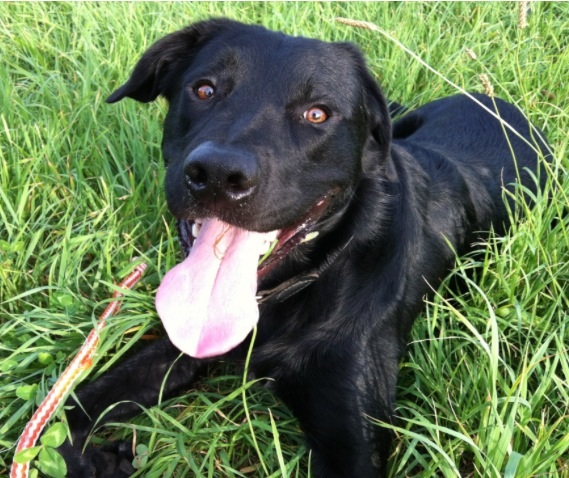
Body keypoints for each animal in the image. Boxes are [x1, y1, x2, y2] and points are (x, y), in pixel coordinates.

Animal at [56, 19, 544, 478]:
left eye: (317, 114)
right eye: (204, 89)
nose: (217, 174)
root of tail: (498, 103)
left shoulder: (353, 434)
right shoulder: (180, 342)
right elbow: (66, 410)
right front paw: (89, 456)